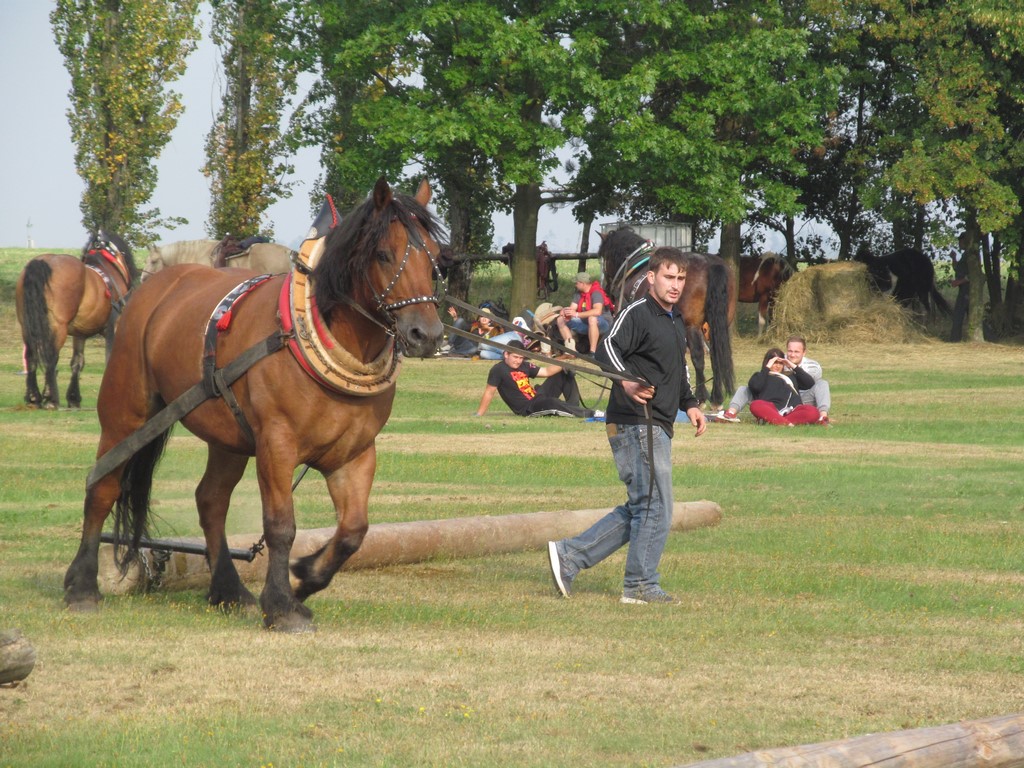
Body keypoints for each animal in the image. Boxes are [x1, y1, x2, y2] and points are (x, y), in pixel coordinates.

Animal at [15, 231, 138, 409]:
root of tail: (42, 263)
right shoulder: (113, 328)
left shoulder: (80, 333)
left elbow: (77, 362)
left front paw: (74, 398)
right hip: (57, 326)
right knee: (51, 357)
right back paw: (50, 398)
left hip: (27, 325)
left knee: (31, 356)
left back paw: (34, 397)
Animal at [63, 178, 445, 632]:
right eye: (384, 254)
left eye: (436, 258)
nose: (426, 334)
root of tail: (151, 292)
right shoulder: (276, 445)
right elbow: (281, 525)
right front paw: (281, 604)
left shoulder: (353, 454)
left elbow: (354, 530)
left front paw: (304, 577)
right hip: (127, 413)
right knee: (103, 485)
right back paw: (82, 585)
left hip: (226, 437)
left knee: (210, 500)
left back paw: (228, 589)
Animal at [599, 227, 736, 406]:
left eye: (603, 257)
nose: (606, 289)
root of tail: (711, 263)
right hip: (718, 323)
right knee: (715, 354)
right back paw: (716, 397)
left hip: (692, 326)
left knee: (698, 357)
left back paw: (701, 396)